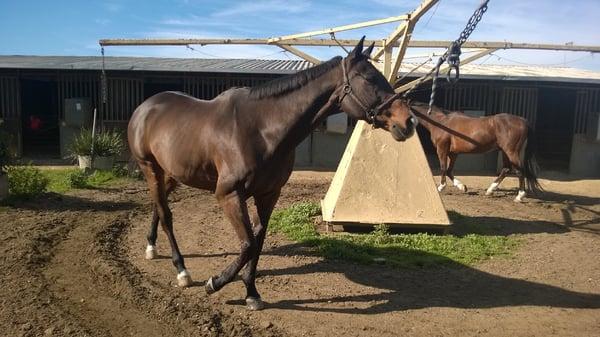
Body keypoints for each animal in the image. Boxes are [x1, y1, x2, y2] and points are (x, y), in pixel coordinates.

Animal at [127, 37, 418, 310]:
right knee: (166, 215)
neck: (260, 129)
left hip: (171, 173)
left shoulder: (268, 195)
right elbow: (247, 244)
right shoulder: (229, 195)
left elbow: (257, 243)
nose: (409, 122)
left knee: (158, 206)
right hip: (149, 167)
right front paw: (215, 283)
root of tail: (145, 107)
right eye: (369, 78)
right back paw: (182, 271)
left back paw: (152, 247)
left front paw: (251, 293)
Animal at [410, 101, 540, 201]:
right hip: (505, 152)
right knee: (506, 169)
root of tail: (523, 121)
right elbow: (449, 170)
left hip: (511, 151)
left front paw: (441, 187)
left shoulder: (442, 149)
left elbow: (443, 168)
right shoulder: (453, 153)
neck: (441, 122)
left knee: (519, 171)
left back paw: (519, 196)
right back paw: (490, 190)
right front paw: (462, 187)